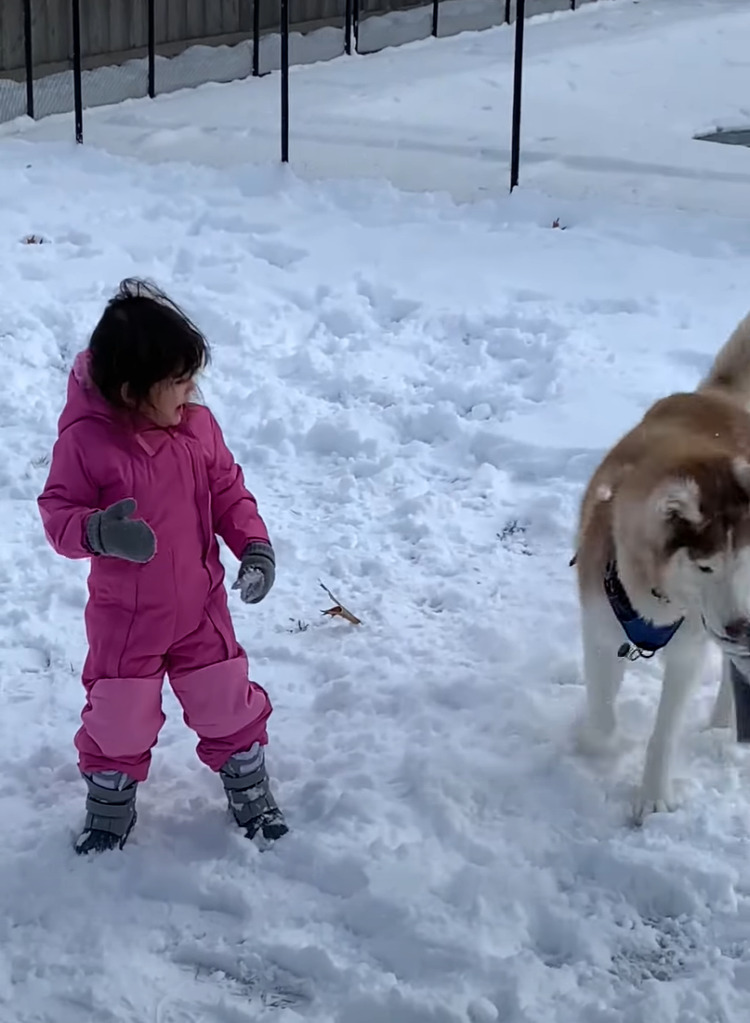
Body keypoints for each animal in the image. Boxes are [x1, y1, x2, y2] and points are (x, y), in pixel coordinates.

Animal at [572, 310, 750, 822]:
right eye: (706, 567)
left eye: (744, 561)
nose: (741, 626)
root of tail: (717, 396)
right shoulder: (599, 628)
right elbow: (601, 716)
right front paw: (601, 744)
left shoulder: (691, 649)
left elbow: (665, 731)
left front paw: (652, 795)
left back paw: (720, 726)